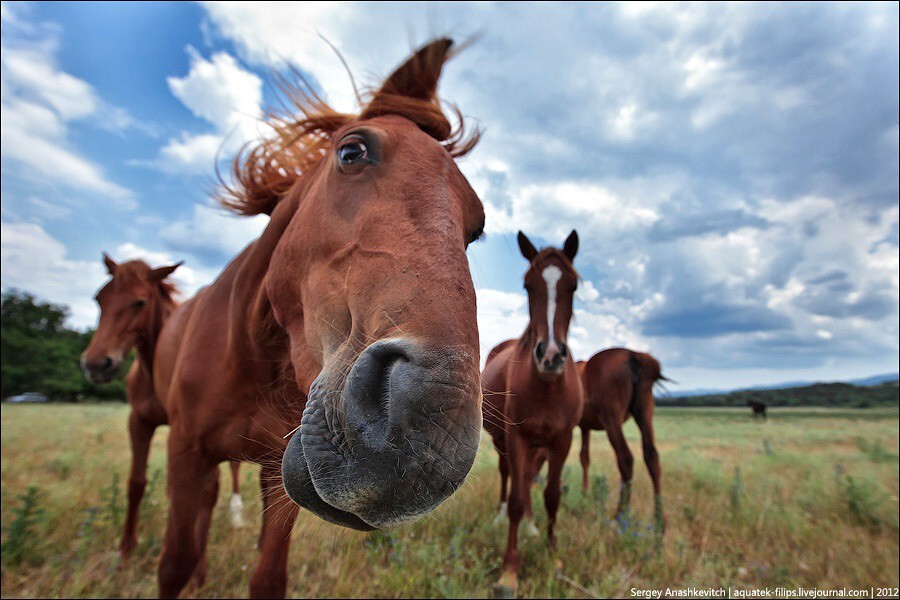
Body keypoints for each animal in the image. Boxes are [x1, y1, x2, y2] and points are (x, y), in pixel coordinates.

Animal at [78, 255, 243, 564]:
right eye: (99, 299)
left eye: (139, 302)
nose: (96, 364)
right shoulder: (139, 422)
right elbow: (137, 483)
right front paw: (126, 548)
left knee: (233, 470)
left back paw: (236, 514)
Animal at [150, 39, 486, 596]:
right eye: (352, 152)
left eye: (476, 226)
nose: (431, 435)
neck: (252, 355)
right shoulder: (185, 451)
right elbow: (173, 562)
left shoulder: (274, 470)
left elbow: (268, 575)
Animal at [482, 231, 588, 596]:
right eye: (528, 285)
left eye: (573, 285)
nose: (551, 355)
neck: (545, 385)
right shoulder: (516, 437)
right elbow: (516, 496)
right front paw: (508, 572)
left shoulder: (562, 440)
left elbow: (552, 496)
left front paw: (553, 556)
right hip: (501, 440)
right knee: (508, 476)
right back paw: (500, 516)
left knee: (527, 477)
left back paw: (530, 526)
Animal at [576, 350, 668, 532]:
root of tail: (633, 355)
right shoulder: (585, 427)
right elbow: (584, 458)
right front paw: (584, 493)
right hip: (645, 414)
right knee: (651, 456)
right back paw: (659, 521)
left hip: (611, 420)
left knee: (625, 459)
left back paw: (620, 516)